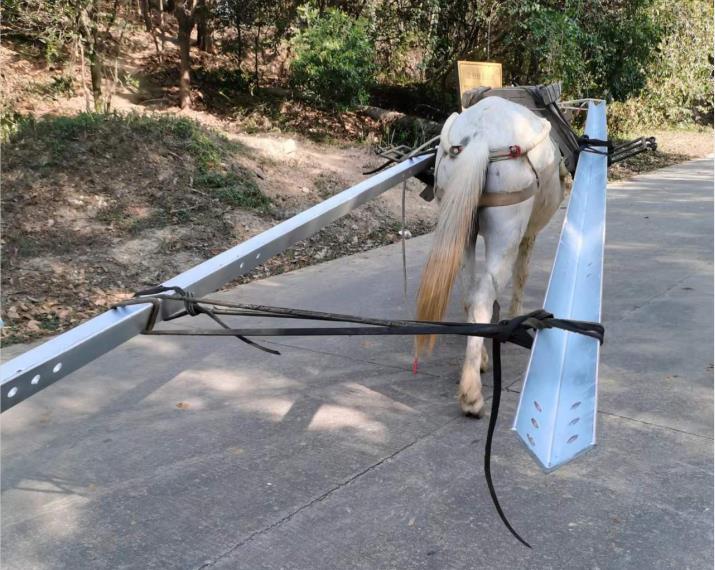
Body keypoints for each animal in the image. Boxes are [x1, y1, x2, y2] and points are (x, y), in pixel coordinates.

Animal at [416, 95, 569, 417]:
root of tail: (481, 137)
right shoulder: (527, 234)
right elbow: (522, 274)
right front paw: (514, 315)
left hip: (462, 227)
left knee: (469, 290)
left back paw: (482, 359)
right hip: (505, 232)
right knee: (483, 294)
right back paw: (471, 394)